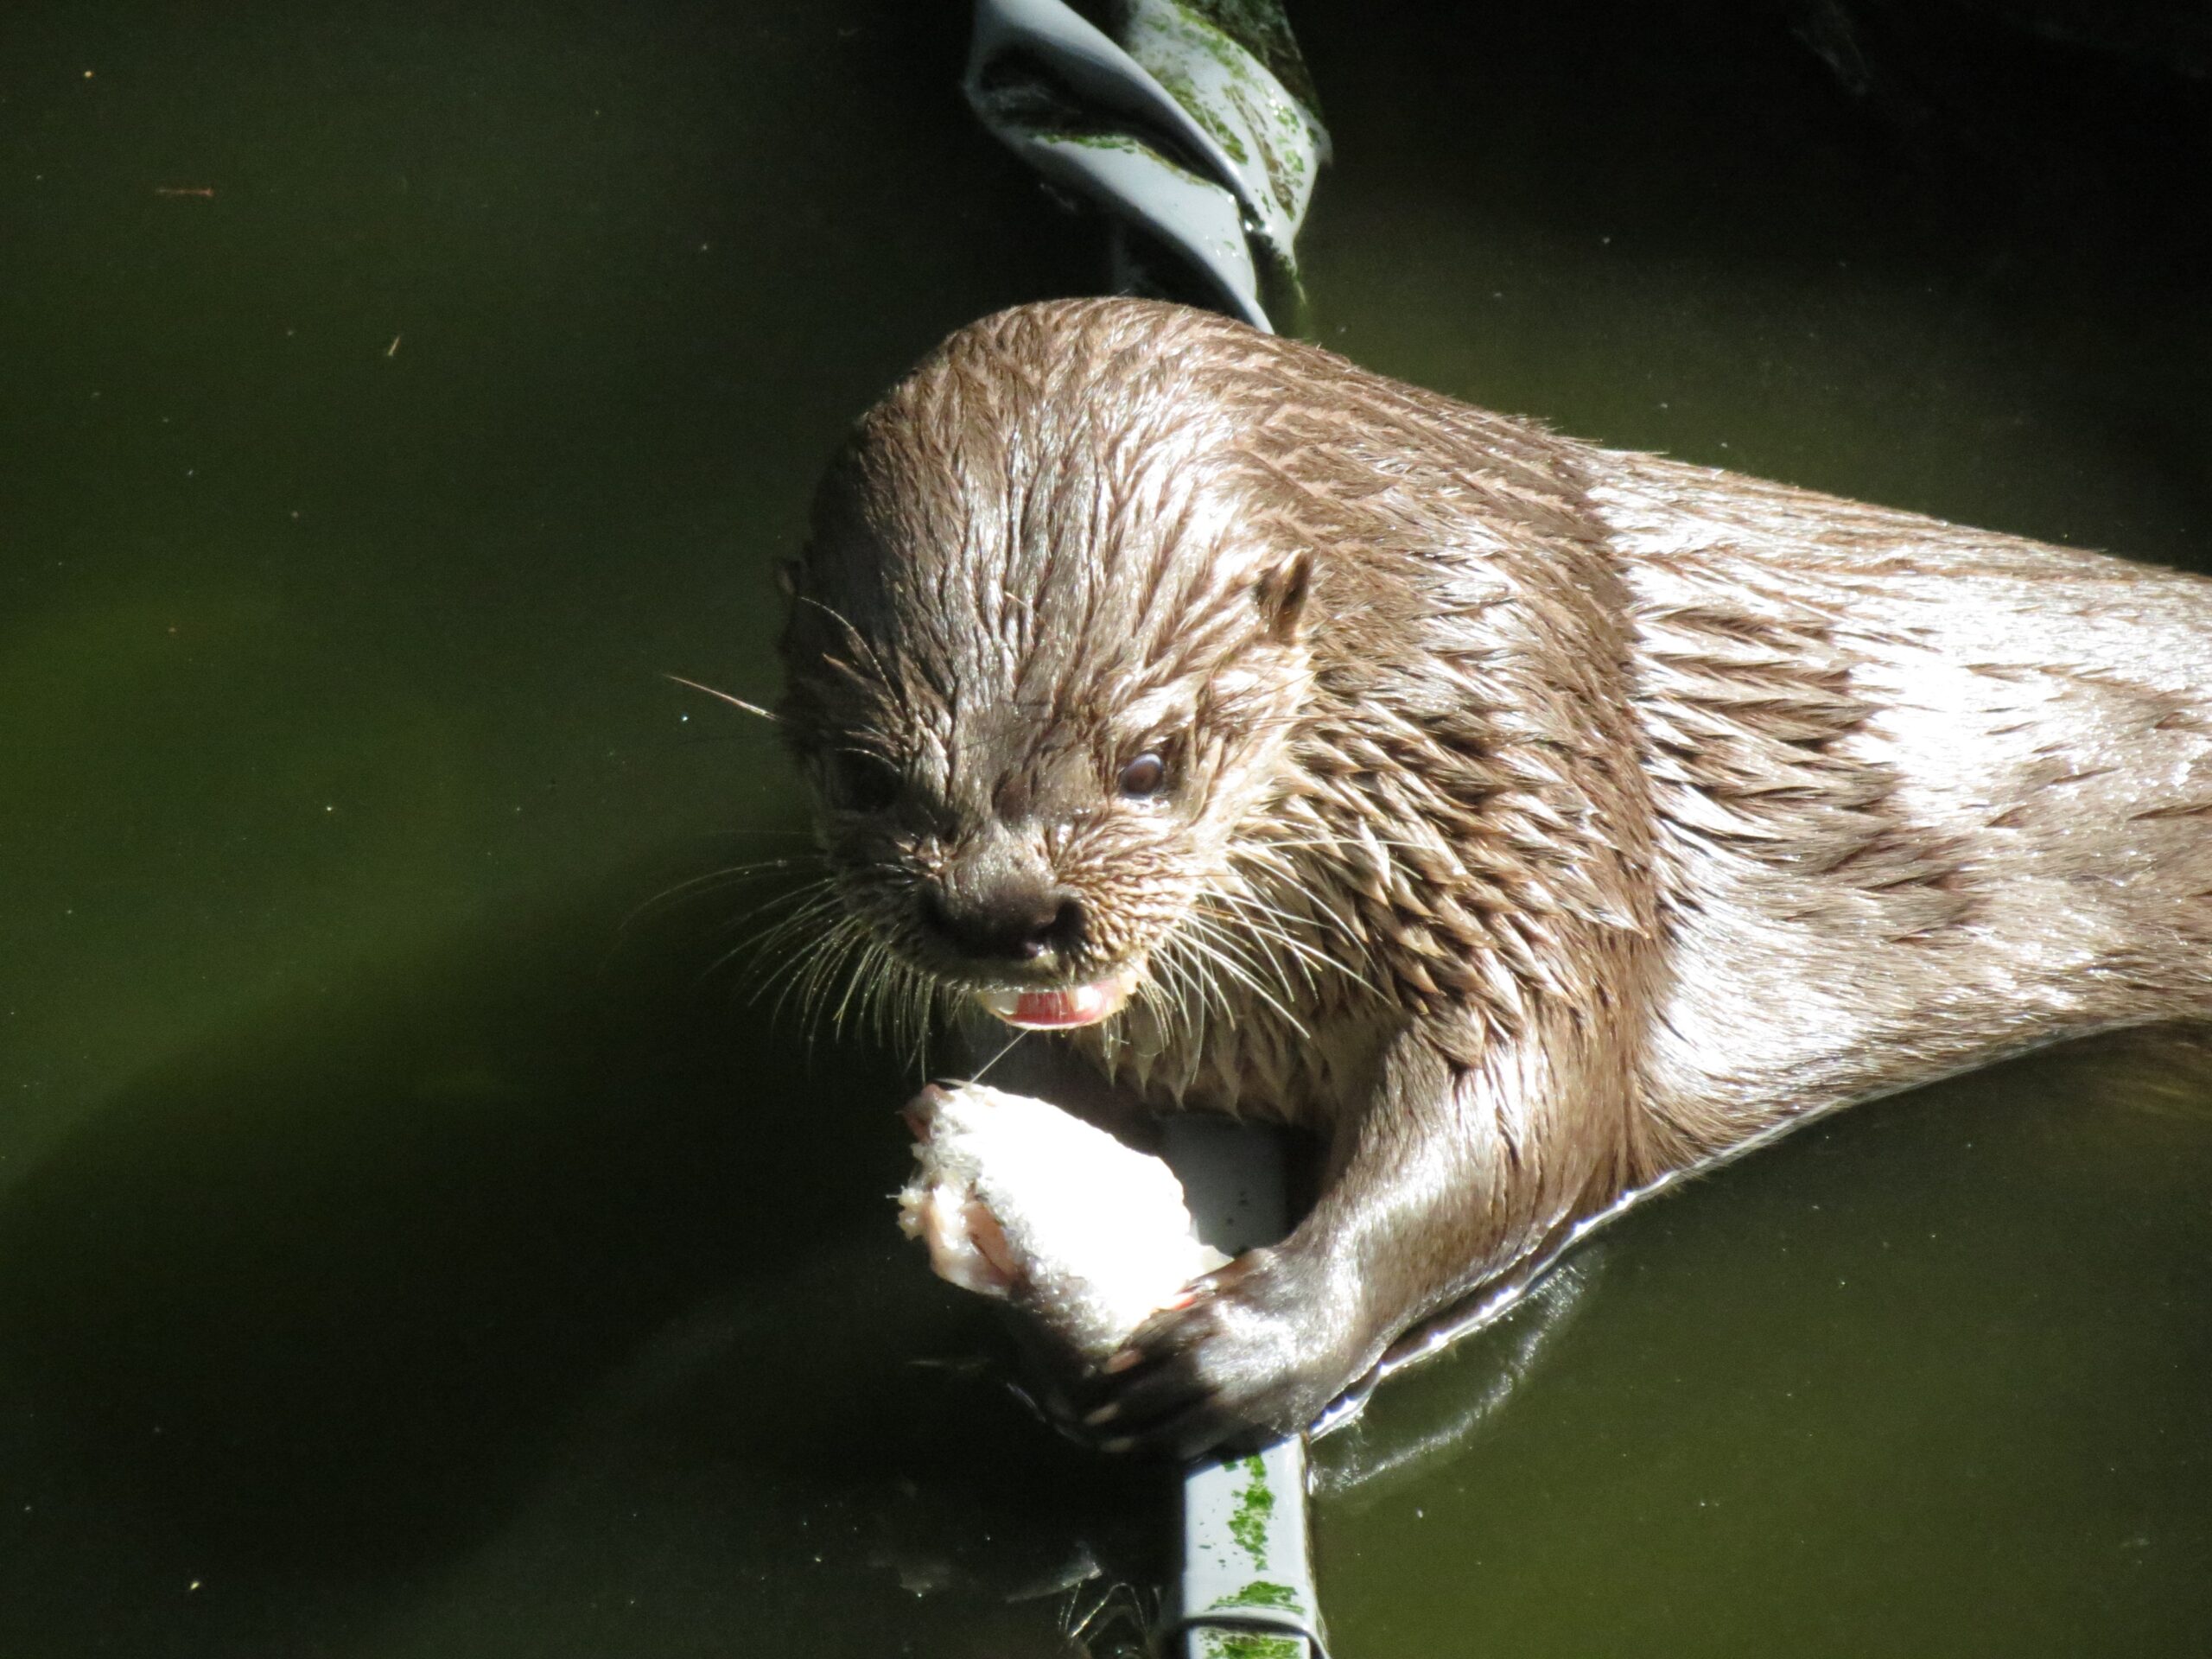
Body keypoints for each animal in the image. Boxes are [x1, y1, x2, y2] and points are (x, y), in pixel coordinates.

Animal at [776, 297, 2212, 1459]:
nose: (1002, 910)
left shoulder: (1535, 820)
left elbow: (1526, 1115)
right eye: (860, 771)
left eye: (1149, 759)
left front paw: (1267, 1339)